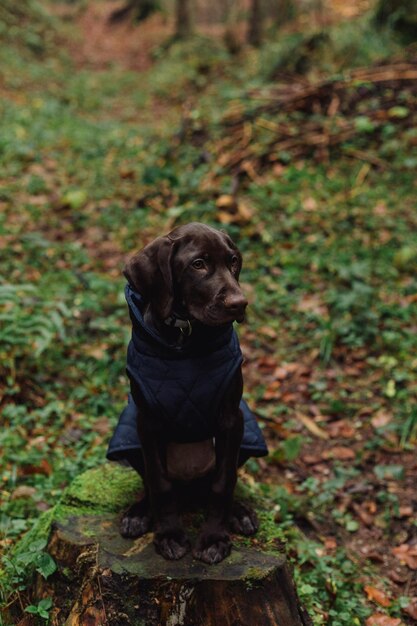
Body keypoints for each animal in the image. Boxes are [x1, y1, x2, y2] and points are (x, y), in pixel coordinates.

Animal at [105, 222, 264, 564]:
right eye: (198, 264)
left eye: (233, 261)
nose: (239, 303)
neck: (185, 337)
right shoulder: (146, 421)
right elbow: (159, 483)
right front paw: (169, 535)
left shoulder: (232, 419)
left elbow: (223, 483)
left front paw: (214, 539)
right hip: (130, 438)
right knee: (152, 483)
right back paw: (139, 513)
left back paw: (239, 512)